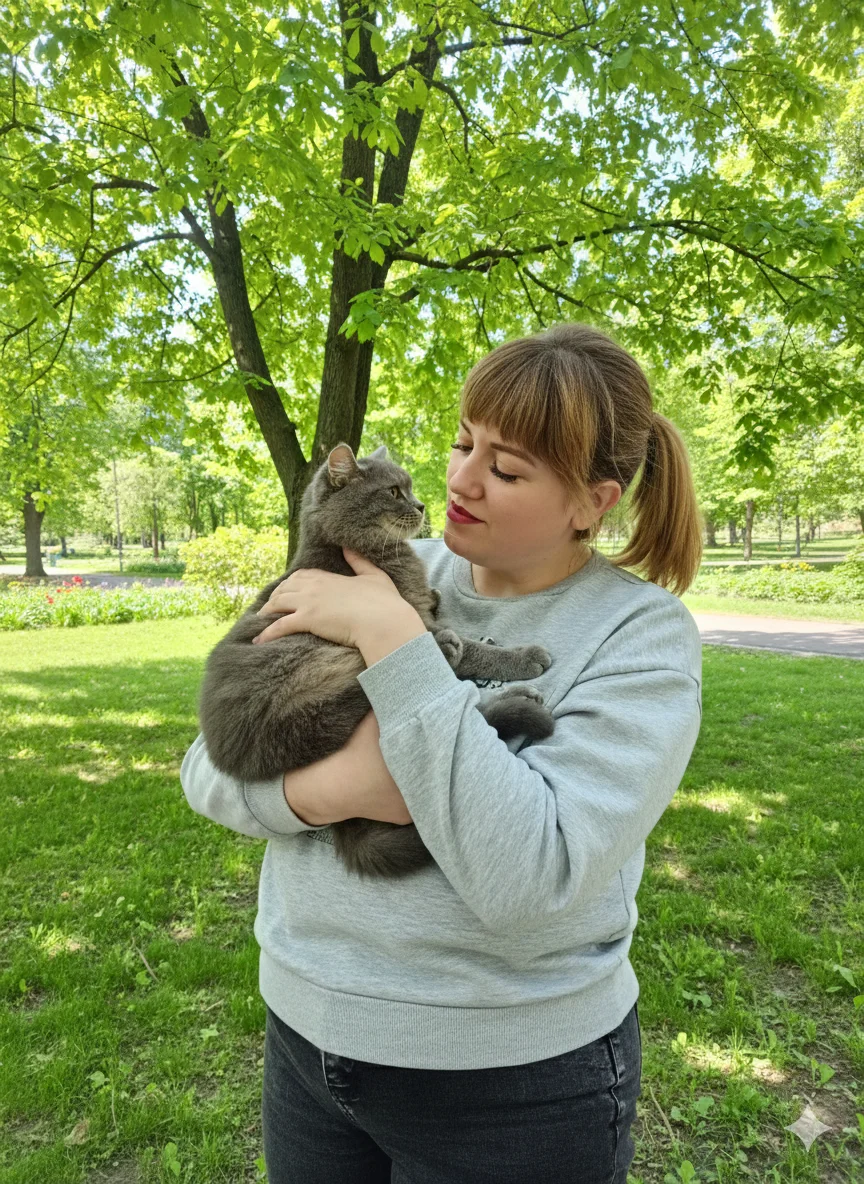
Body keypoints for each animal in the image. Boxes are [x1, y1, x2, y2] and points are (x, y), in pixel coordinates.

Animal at [199, 443, 555, 879]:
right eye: (394, 492)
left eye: (411, 487)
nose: (421, 505)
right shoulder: (412, 619)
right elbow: (477, 650)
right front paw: (523, 657)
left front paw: (440, 601)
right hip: (324, 666)